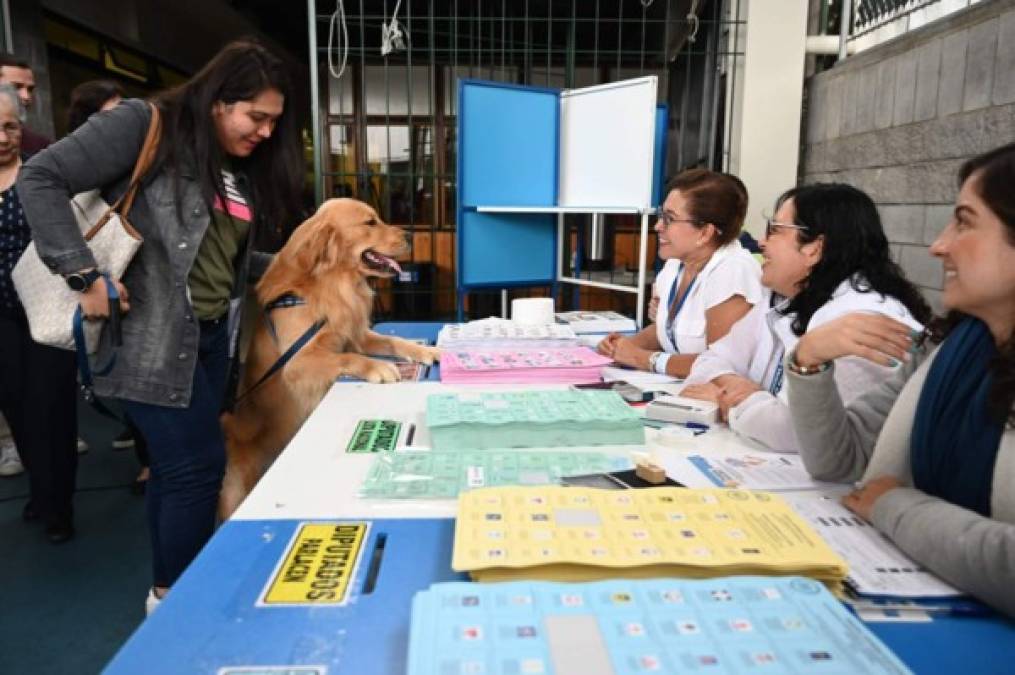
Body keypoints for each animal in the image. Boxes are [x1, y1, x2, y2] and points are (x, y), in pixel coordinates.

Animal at [220, 198, 438, 515]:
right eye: (369, 222)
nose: (410, 236)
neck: (332, 282)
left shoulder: (356, 333)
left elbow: (394, 340)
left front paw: (426, 350)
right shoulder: (298, 361)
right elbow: (345, 359)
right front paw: (378, 367)